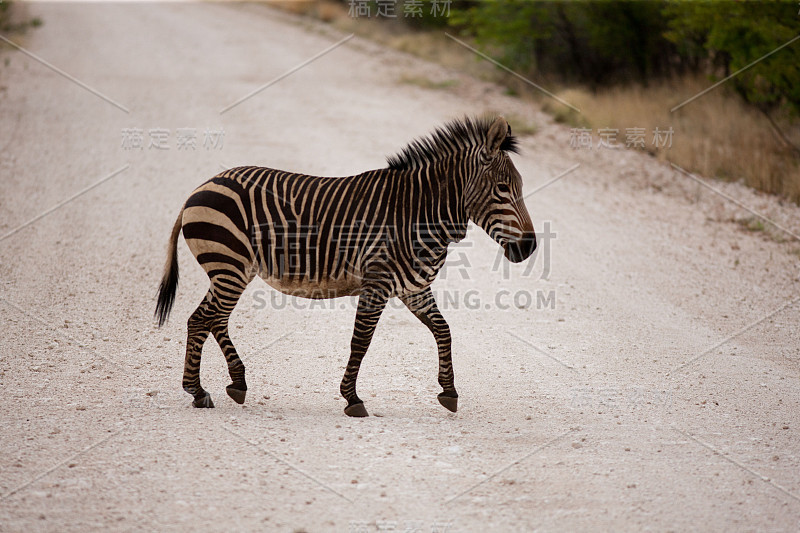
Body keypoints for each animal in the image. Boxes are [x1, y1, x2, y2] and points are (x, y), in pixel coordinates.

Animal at [155, 115, 536, 416]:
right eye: (503, 188)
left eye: (518, 186)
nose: (530, 247)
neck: (418, 213)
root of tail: (201, 187)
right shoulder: (377, 283)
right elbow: (361, 341)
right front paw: (352, 399)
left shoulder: (414, 288)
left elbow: (444, 330)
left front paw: (449, 391)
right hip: (230, 266)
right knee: (204, 319)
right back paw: (201, 391)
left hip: (232, 270)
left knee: (210, 319)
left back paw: (229, 384)